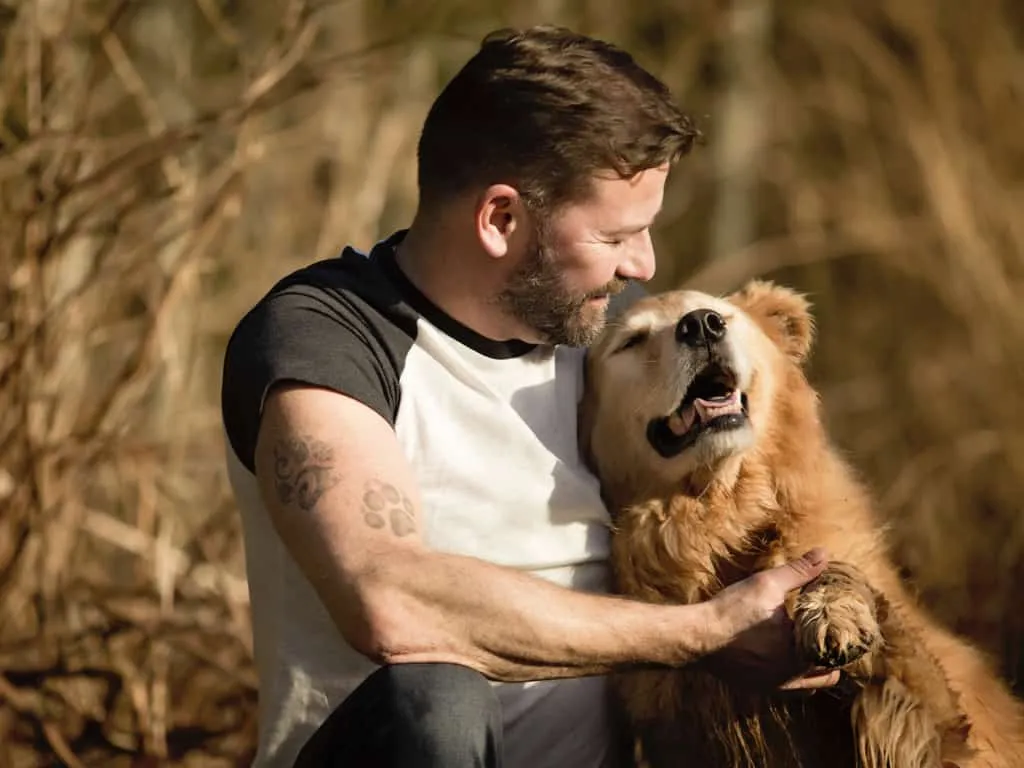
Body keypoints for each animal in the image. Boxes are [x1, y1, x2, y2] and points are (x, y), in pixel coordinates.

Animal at [581, 282, 1019, 768]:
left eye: (720, 314)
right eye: (632, 341)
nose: (701, 325)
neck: (721, 510)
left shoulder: (939, 731)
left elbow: (851, 585)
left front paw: (835, 616)